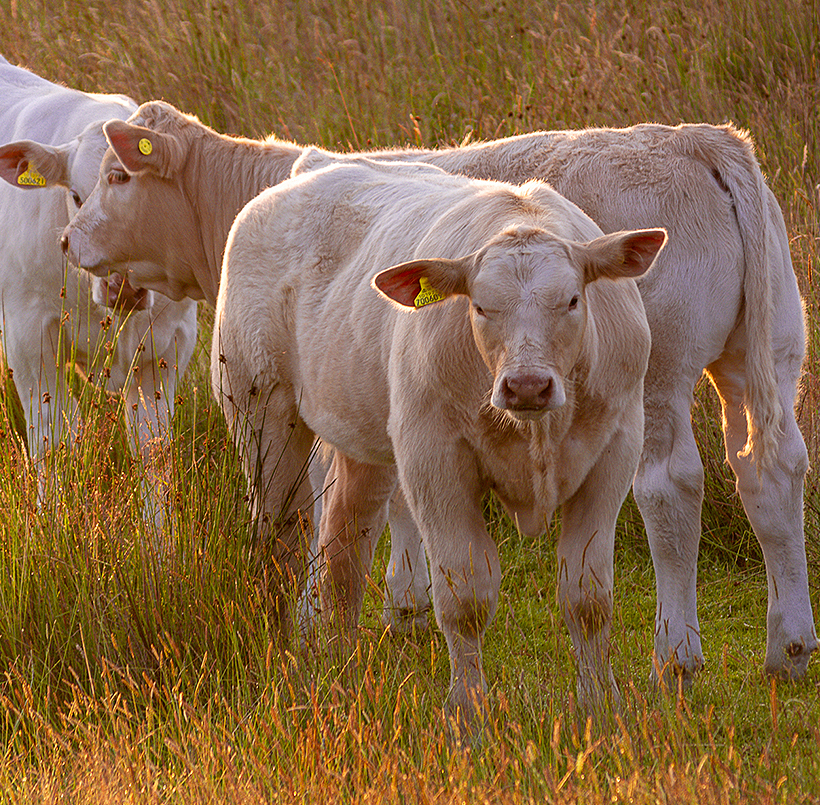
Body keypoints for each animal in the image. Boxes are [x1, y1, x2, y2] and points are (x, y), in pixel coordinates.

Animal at [0, 58, 197, 532]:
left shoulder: (166, 343)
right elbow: (53, 439)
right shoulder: (27, 335)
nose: (122, 283)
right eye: (75, 195)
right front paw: (51, 532)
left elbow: (153, 449)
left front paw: (161, 543)